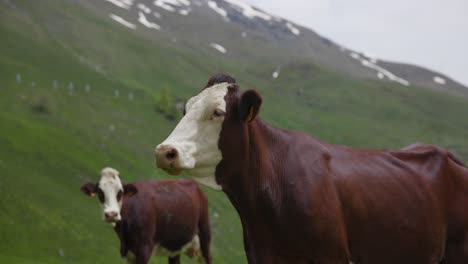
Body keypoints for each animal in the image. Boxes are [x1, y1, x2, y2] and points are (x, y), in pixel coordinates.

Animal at [81, 168, 212, 262]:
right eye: (100, 192)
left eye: (120, 192)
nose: (111, 214)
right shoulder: (130, 254)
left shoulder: (144, 249)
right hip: (175, 247)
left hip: (205, 237)